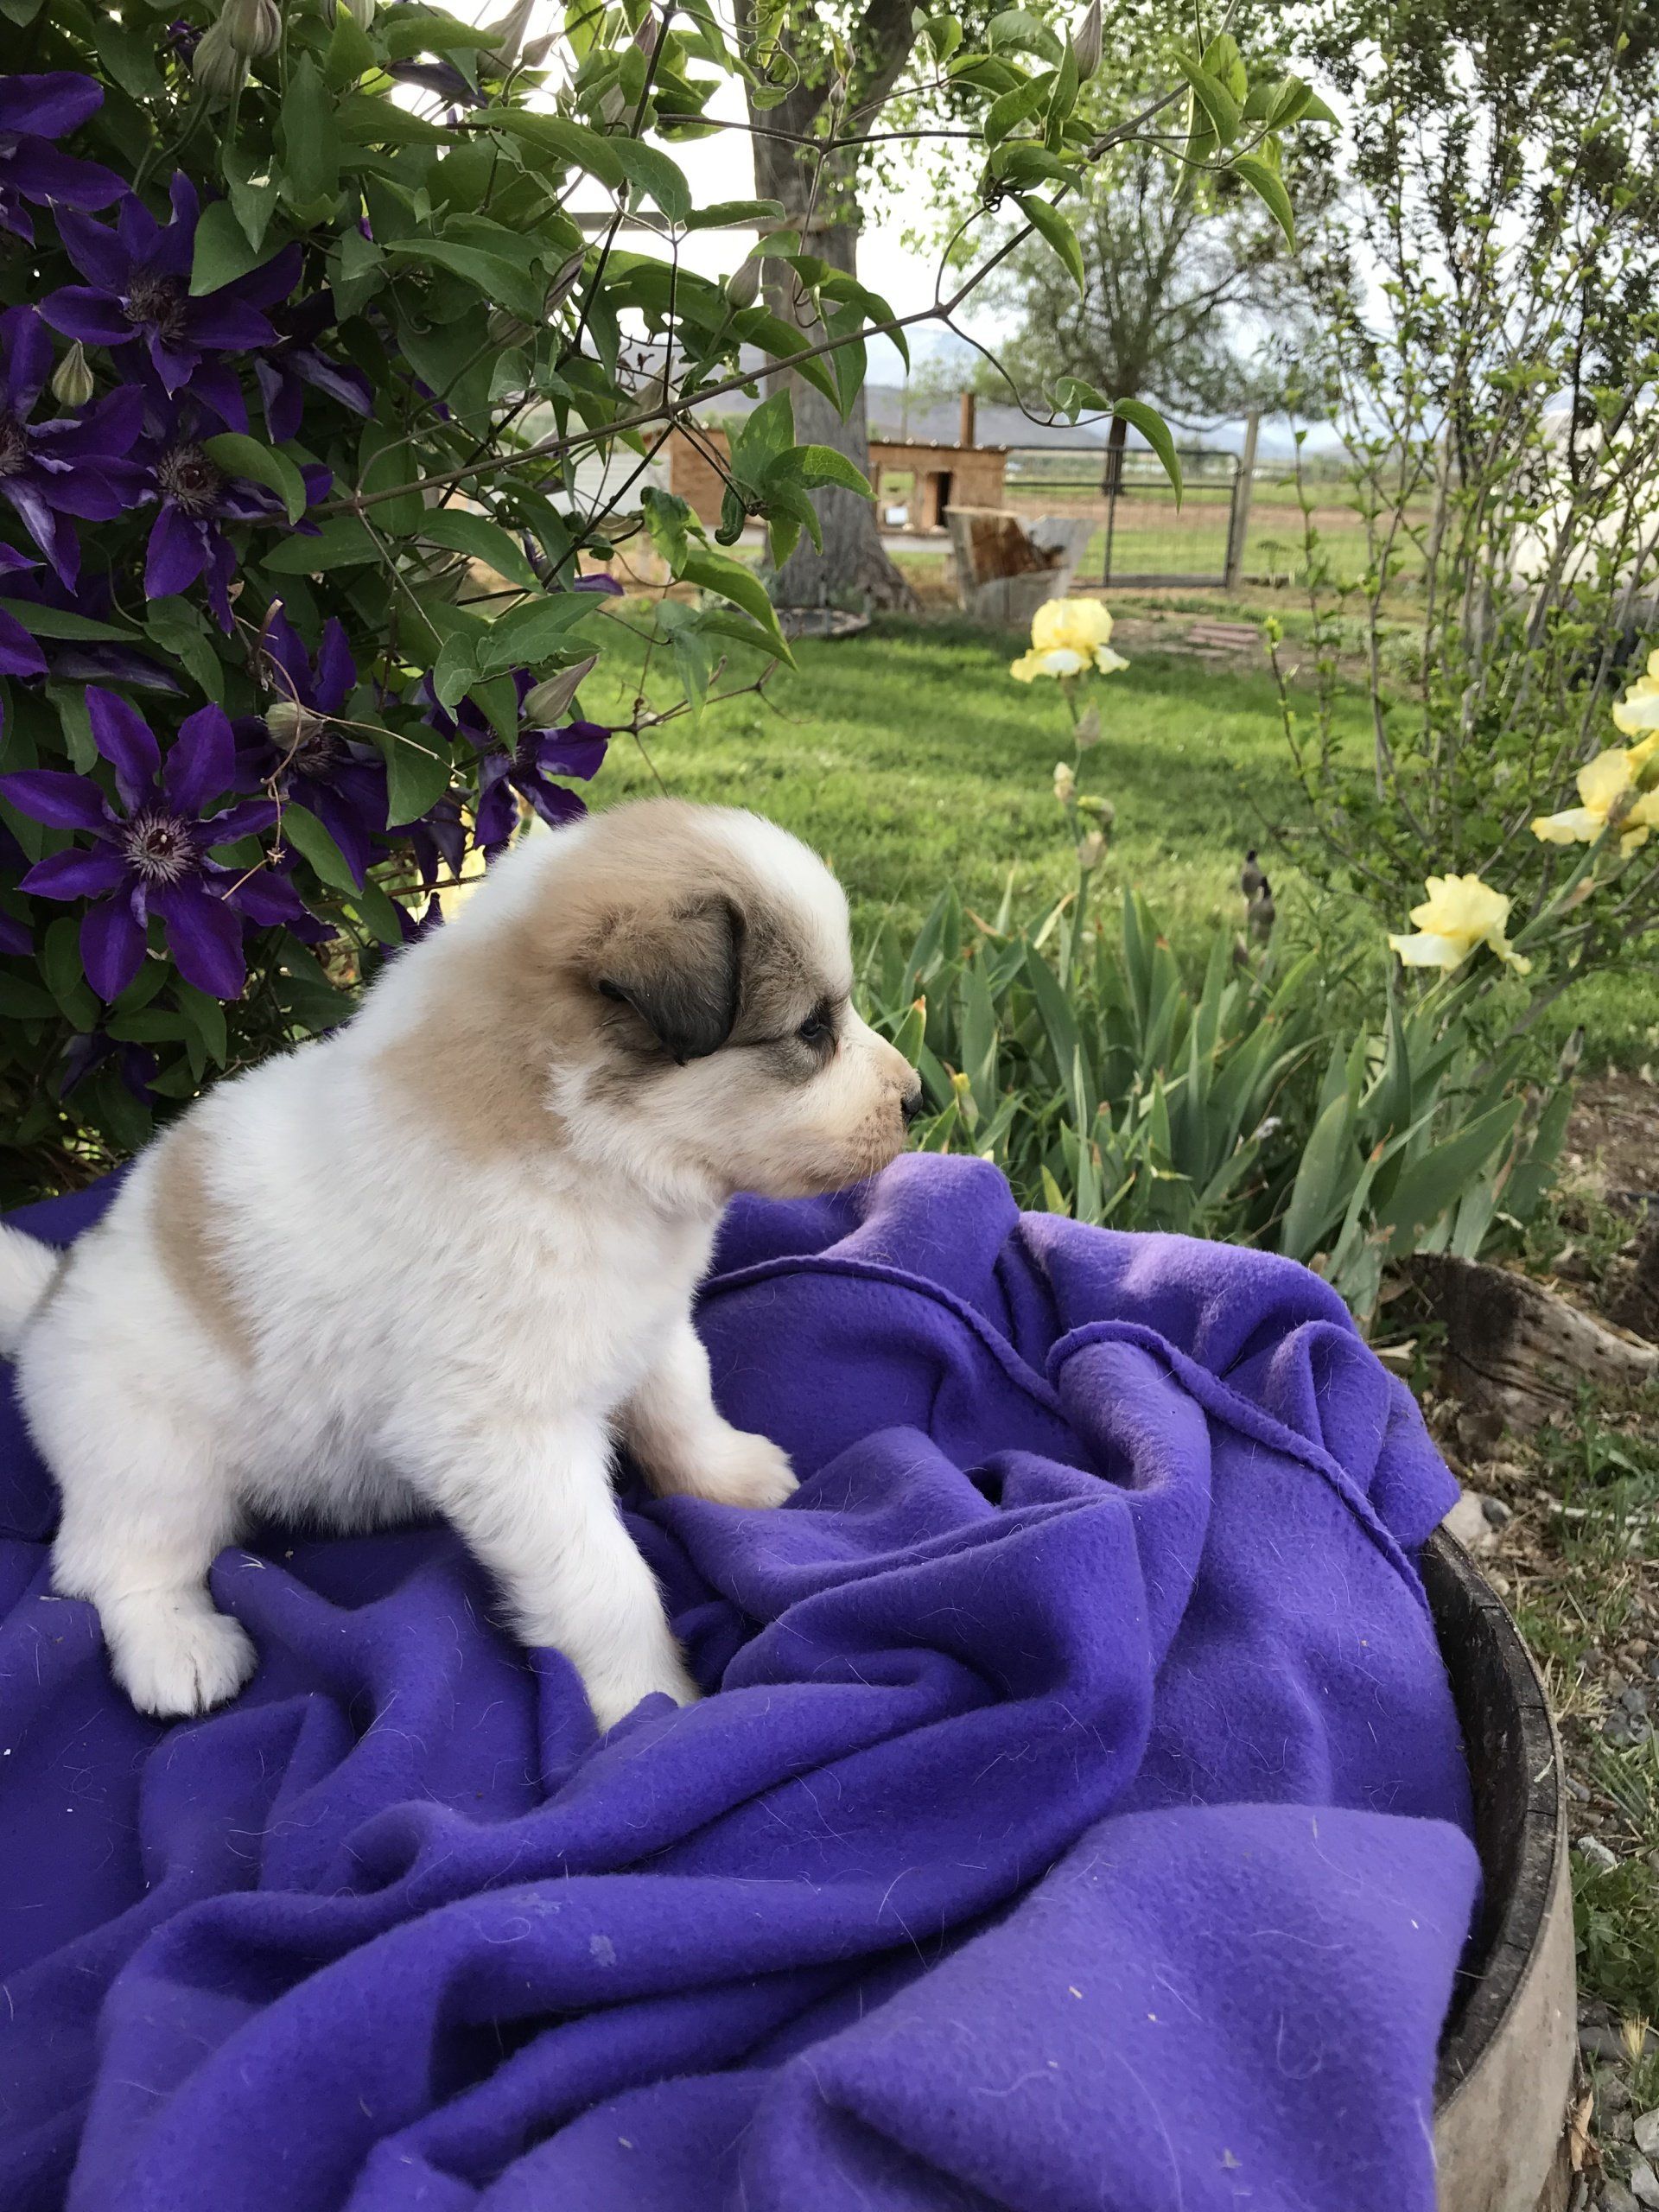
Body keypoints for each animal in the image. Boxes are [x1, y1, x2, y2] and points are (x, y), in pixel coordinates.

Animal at [0, 800, 922, 1728]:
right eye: (812, 1030)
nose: (919, 1098)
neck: (575, 1142)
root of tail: (48, 1303)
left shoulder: (644, 1321)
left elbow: (681, 1402)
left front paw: (730, 1475)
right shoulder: (511, 1440)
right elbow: (604, 1582)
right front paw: (649, 1702)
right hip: (153, 1463)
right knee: (117, 1564)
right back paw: (180, 1650)